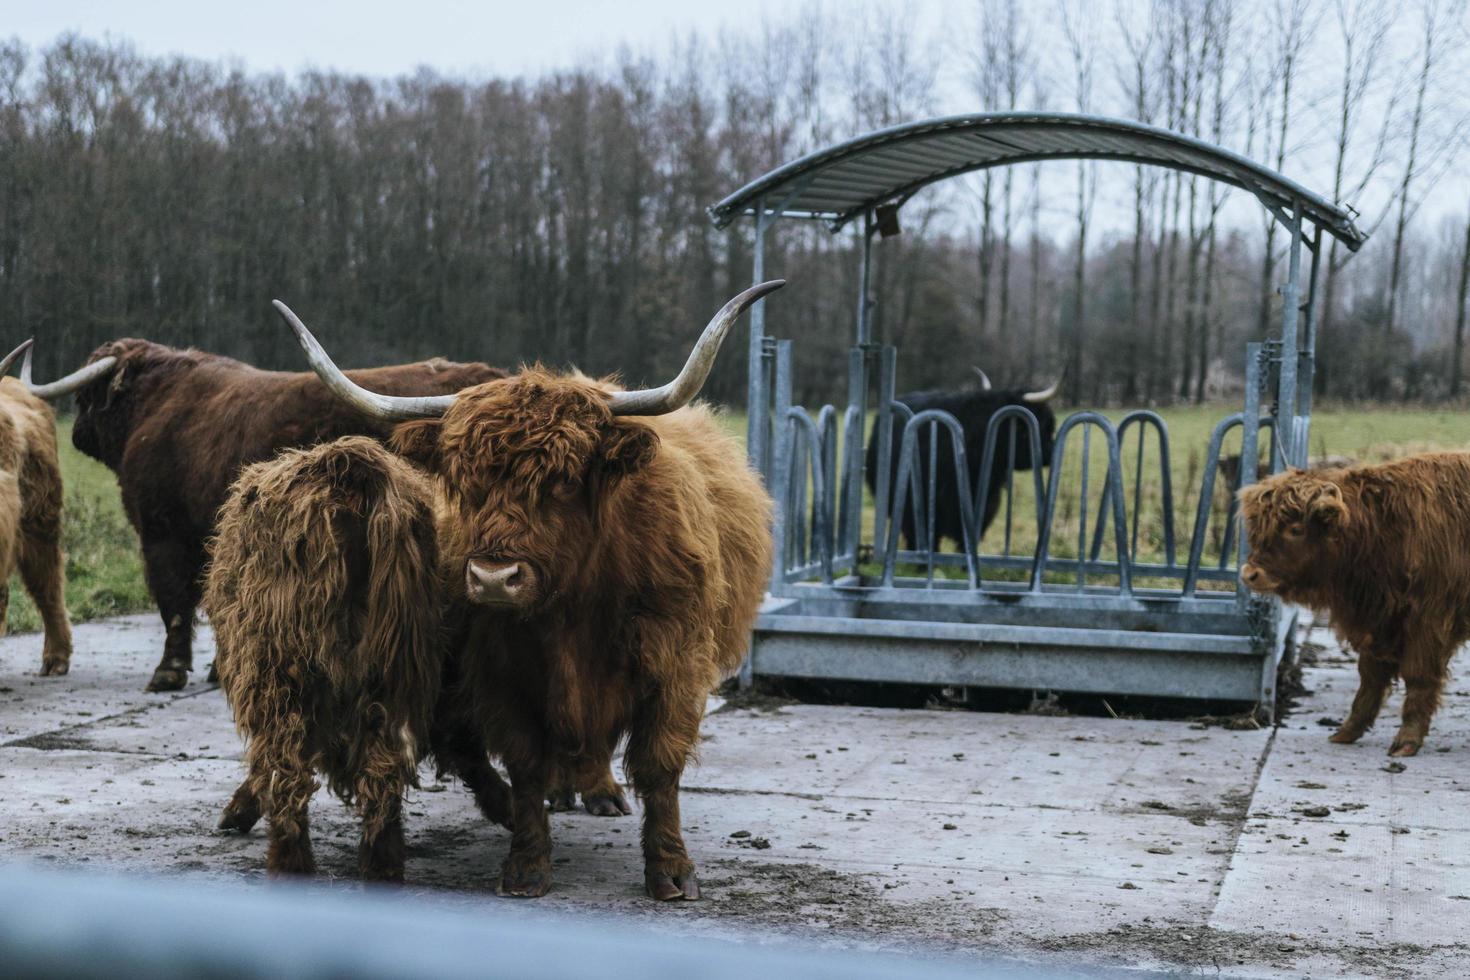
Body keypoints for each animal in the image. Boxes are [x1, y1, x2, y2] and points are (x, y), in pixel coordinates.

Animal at [201, 437, 511, 881]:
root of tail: (346, 468)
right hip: (391, 665)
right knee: (383, 763)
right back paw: (382, 866)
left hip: (282, 666)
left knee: (287, 767)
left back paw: (290, 864)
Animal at [276, 279, 782, 899]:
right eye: (463, 480)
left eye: (562, 479)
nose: (494, 578)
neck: (572, 609)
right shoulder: (501, 670)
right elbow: (525, 765)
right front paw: (527, 863)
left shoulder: (675, 661)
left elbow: (659, 766)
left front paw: (670, 870)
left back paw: (600, 793)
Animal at [1240, 452, 1470, 758]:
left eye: (1296, 529)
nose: (1250, 574)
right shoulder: (1378, 622)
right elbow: (1370, 677)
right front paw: (1347, 731)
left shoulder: (1427, 619)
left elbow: (1418, 677)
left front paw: (1406, 741)